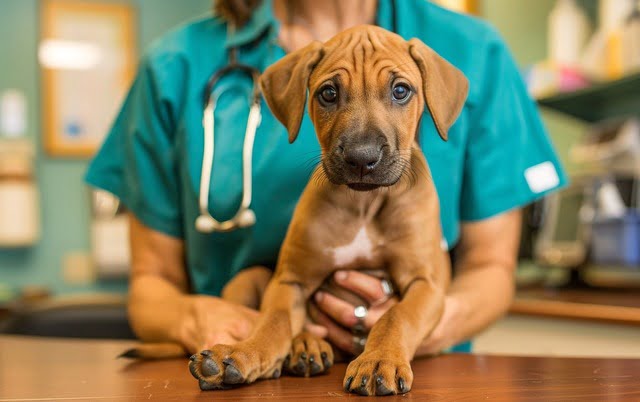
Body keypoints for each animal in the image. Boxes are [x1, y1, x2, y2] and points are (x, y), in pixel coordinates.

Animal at [188, 25, 468, 396]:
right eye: (329, 93)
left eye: (401, 91)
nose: (362, 158)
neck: (363, 204)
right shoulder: (290, 280)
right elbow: (273, 322)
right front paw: (241, 355)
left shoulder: (427, 284)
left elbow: (395, 316)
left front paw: (378, 360)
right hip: (248, 278)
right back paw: (305, 348)